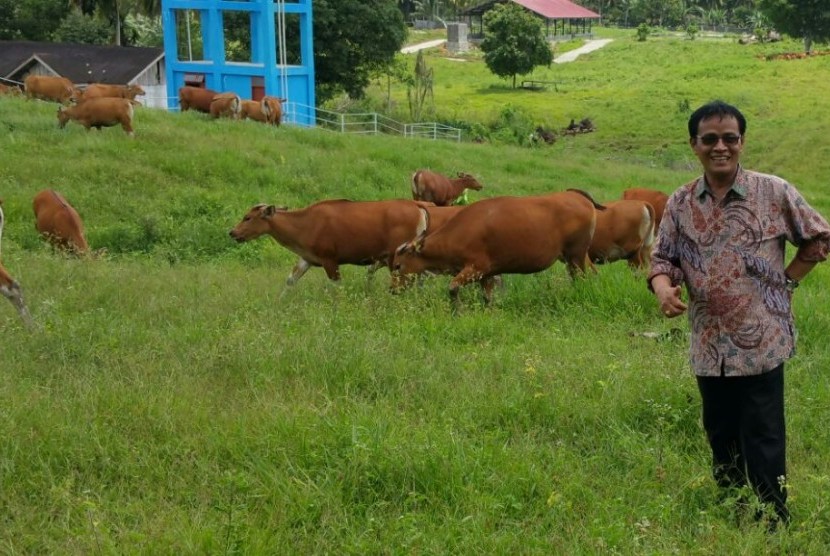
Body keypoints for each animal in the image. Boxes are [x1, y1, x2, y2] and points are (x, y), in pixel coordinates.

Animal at [229, 200, 436, 286]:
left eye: (247, 218)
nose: (232, 232)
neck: (305, 223)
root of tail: (418, 206)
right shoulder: (307, 258)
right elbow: (290, 280)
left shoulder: (329, 259)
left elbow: (336, 286)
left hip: (396, 257)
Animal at [394, 188, 600, 308]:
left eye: (397, 265)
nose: (392, 290)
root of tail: (576, 196)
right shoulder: (487, 275)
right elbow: (487, 298)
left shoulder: (476, 269)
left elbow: (452, 287)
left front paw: (457, 311)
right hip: (572, 257)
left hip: (576, 255)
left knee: (581, 278)